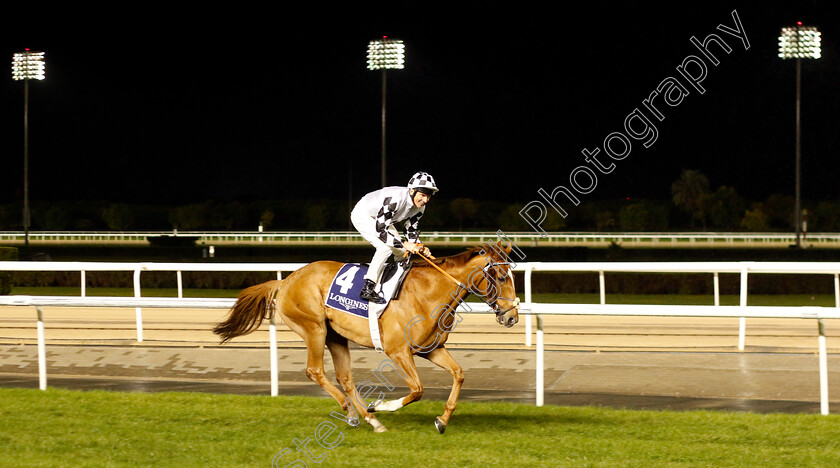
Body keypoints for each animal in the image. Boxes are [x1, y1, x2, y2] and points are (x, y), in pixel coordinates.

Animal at [215, 243, 520, 434]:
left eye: (512, 275)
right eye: (500, 276)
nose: (512, 317)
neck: (429, 293)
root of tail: (286, 280)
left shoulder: (431, 349)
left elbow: (458, 374)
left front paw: (442, 420)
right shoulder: (397, 351)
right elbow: (418, 389)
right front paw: (382, 405)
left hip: (336, 337)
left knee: (345, 378)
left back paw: (369, 419)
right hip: (314, 329)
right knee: (315, 370)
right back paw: (355, 413)